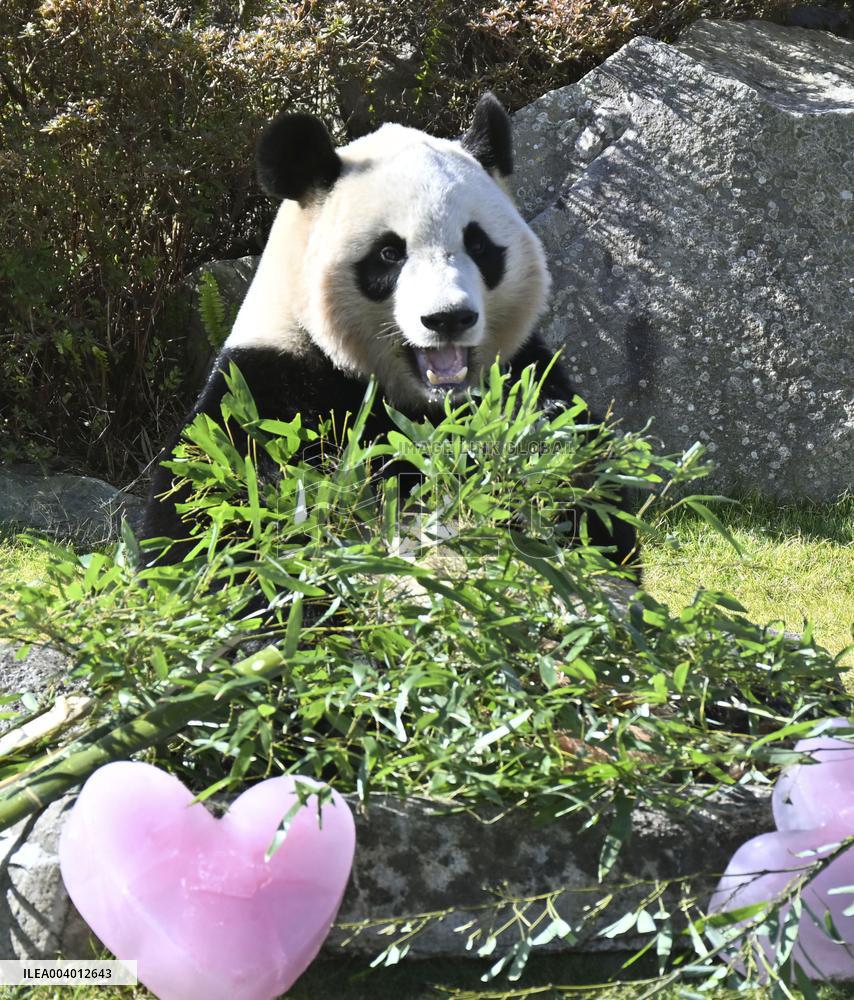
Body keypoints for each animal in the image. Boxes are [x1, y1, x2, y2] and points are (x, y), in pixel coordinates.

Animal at [143, 94, 637, 569]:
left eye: (478, 245)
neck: (424, 406)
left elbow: (598, 521)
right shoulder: (265, 387)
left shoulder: (524, 367)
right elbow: (213, 517)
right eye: (388, 254)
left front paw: (540, 440)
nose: (448, 318)